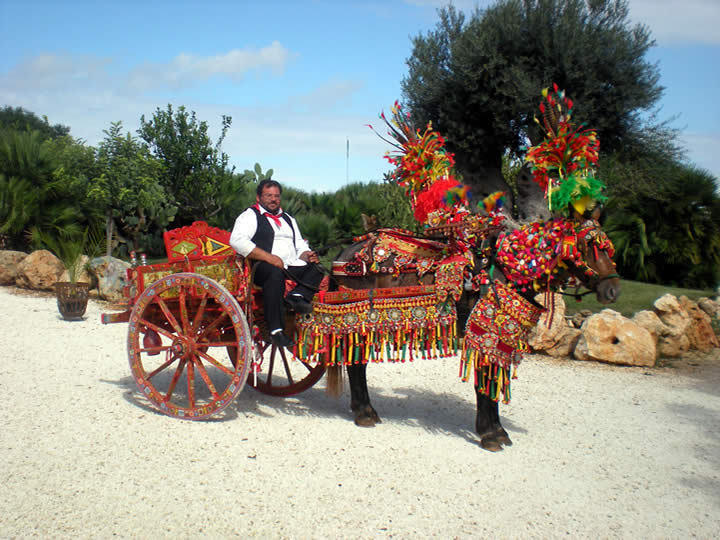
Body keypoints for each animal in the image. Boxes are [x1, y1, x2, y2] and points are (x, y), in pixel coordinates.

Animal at [326, 207, 620, 452]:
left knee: (357, 363)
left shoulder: (501, 340)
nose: (612, 290)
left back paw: (365, 411)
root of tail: (345, 256)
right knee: (356, 365)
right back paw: (364, 413)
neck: (507, 271)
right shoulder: (484, 335)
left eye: (607, 247)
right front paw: (490, 434)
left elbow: (493, 383)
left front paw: (497, 431)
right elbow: (484, 385)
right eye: (590, 245)